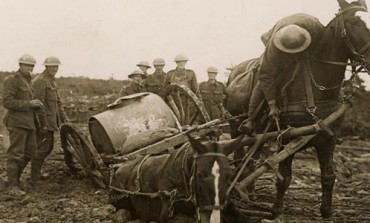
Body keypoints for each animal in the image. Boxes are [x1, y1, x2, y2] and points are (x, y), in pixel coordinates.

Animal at [225, 0, 370, 220]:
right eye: (354, 23)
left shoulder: (329, 138)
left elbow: (329, 175)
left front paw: (326, 211)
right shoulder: (286, 138)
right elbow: (284, 177)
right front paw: (276, 210)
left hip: (259, 134)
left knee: (250, 160)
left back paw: (249, 193)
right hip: (235, 126)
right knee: (239, 156)